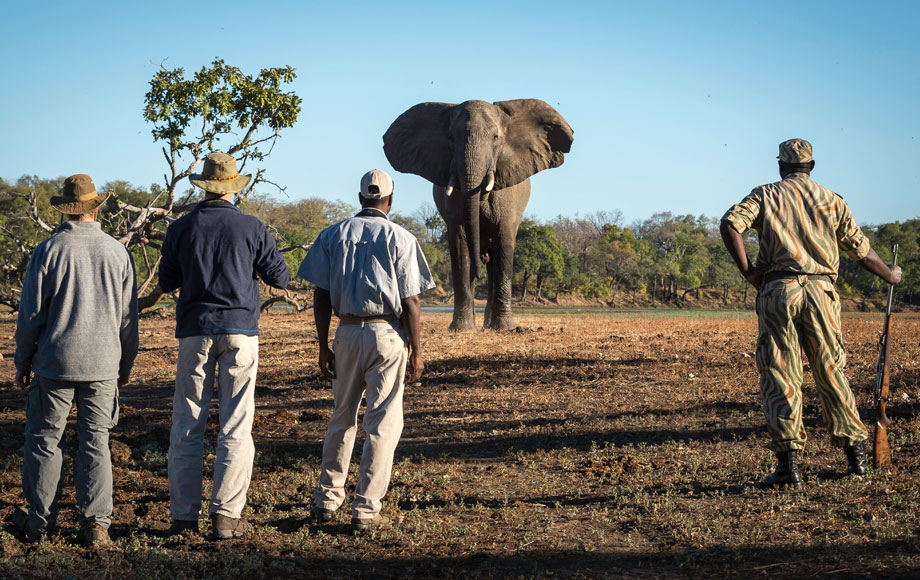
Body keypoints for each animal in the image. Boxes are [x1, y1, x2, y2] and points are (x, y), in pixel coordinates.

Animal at [382, 99, 572, 330]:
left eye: (495, 137)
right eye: (451, 138)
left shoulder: (507, 196)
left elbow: (504, 243)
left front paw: (505, 328)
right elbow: (460, 244)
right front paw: (462, 329)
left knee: (494, 264)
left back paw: (490, 323)